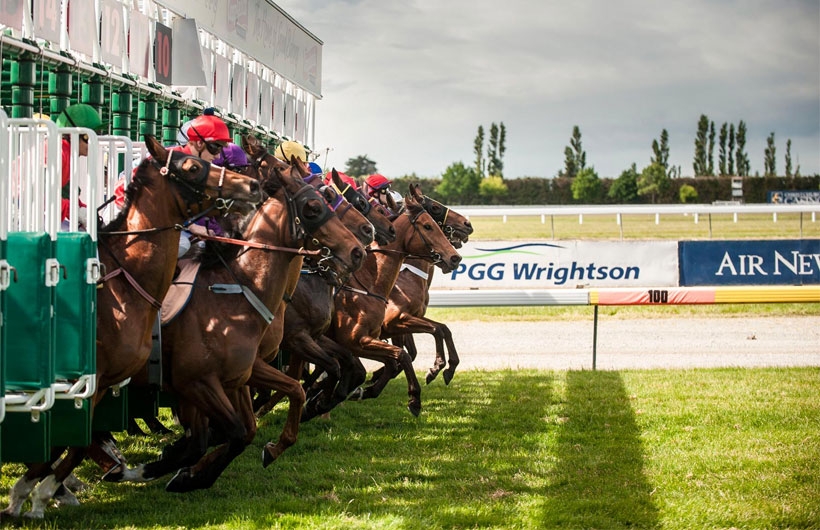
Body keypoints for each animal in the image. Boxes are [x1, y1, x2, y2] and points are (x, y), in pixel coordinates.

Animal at [1, 135, 262, 516]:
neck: (124, 281)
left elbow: (73, 442)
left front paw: (35, 489)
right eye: (191, 167)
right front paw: (39, 492)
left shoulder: (107, 382)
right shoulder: (89, 382)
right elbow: (74, 440)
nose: (253, 186)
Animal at [101, 138, 364, 488]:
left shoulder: (241, 372)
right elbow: (233, 430)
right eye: (315, 206)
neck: (241, 288)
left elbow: (272, 407)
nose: (359, 247)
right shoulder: (198, 380)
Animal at [326, 186, 462, 416]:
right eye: (429, 222)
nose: (455, 258)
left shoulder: (403, 322)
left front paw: (443, 368)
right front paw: (433, 372)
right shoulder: (395, 321)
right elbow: (424, 341)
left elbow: (440, 330)